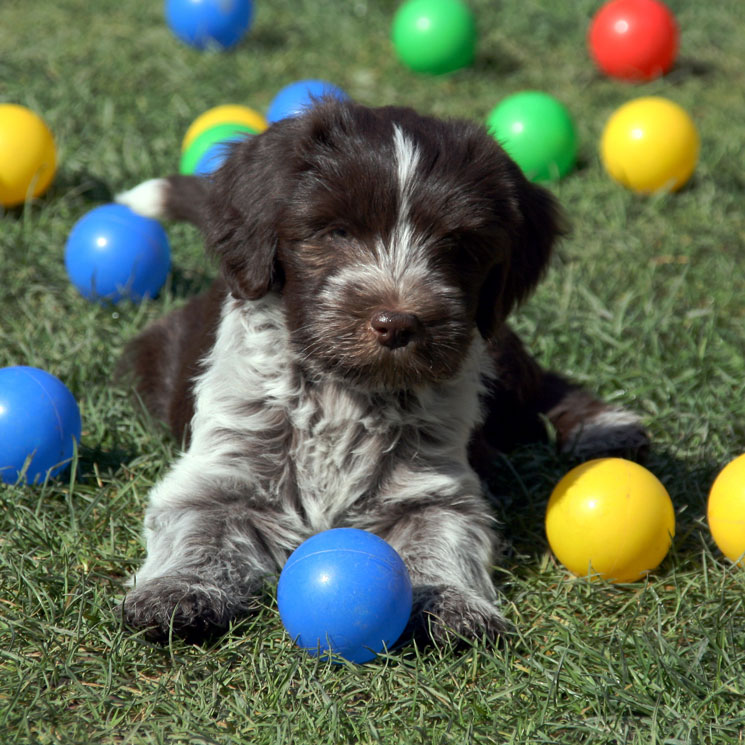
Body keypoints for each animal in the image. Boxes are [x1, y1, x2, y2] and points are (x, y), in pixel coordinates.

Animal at [115, 99, 644, 644]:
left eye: (458, 247)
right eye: (336, 232)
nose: (397, 323)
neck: (346, 390)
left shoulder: (431, 493)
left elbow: (442, 540)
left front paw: (453, 604)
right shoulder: (223, 473)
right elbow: (198, 527)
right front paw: (177, 591)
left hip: (497, 352)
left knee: (541, 387)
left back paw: (603, 427)